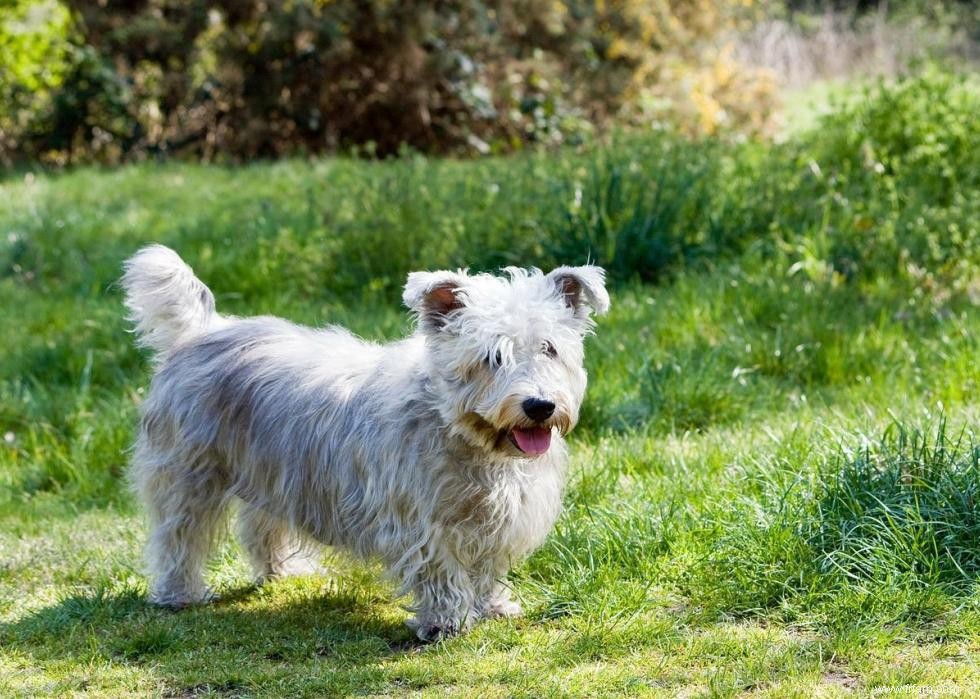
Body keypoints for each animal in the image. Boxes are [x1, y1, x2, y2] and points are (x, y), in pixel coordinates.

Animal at [124, 245, 604, 640]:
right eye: (492, 356)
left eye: (549, 348)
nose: (539, 405)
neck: (459, 431)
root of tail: (200, 332)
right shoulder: (419, 519)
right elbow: (440, 569)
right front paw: (446, 620)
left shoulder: (498, 517)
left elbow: (487, 566)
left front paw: (493, 605)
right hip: (189, 475)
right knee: (178, 537)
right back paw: (179, 593)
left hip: (274, 471)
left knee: (262, 527)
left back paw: (284, 572)